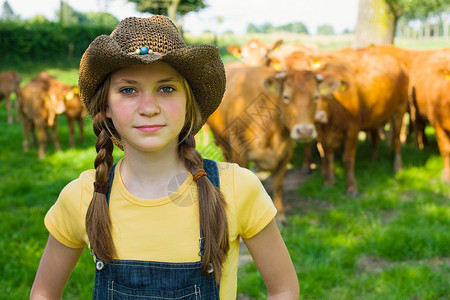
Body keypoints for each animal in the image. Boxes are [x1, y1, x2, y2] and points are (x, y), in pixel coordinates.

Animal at [207, 67, 326, 224]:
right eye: (286, 97)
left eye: (316, 97)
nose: (304, 131)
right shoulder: (240, 150)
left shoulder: (287, 151)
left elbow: (278, 184)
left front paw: (280, 215)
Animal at [312, 52, 410, 196]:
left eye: (329, 96)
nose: (318, 116)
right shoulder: (323, 134)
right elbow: (328, 155)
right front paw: (329, 181)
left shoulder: (352, 130)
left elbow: (348, 158)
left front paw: (351, 187)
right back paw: (375, 157)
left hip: (399, 109)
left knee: (397, 139)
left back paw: (398, 166)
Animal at [410, 50, 448, 182]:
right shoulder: (438, 124)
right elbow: (446, 149)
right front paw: (446, 175)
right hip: (416, 110)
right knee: (418, 127)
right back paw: (418, 147)